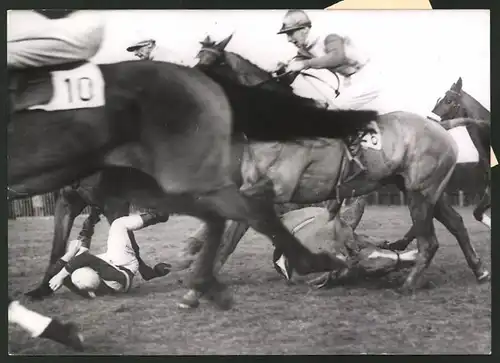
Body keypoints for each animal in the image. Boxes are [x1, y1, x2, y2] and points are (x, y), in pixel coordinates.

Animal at [174, 35, 490, 294]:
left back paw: (409, 284)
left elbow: (229, 234)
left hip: (420, 191)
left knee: (429, 241)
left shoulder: (273, 191)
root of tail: (440, 126)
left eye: (208, 62)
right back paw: (479, 270)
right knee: (456, 223)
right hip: (422, 189)